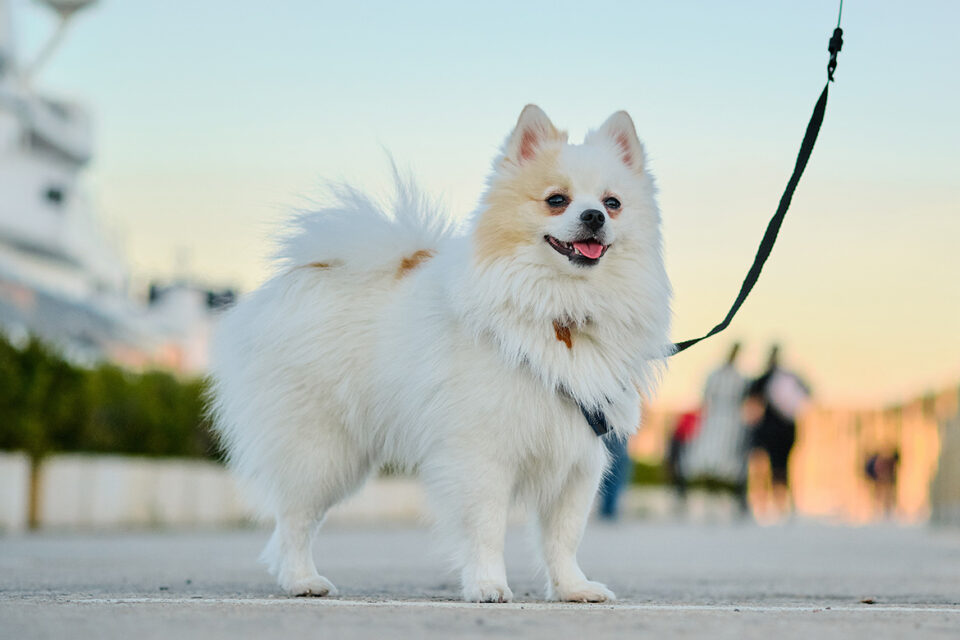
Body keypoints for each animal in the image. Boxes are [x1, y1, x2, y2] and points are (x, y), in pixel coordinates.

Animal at [208, 104, 676, 600]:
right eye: (556, 200)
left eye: (613, 203)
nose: (593, 216)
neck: (561, 313)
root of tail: (306, 275)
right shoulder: (481, 453)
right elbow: (487, 528)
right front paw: (488, 584)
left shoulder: (577, 459)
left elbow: (563, 537)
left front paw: (572, 588)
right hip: (321, 451)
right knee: (294, 520)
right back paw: (302, 580)